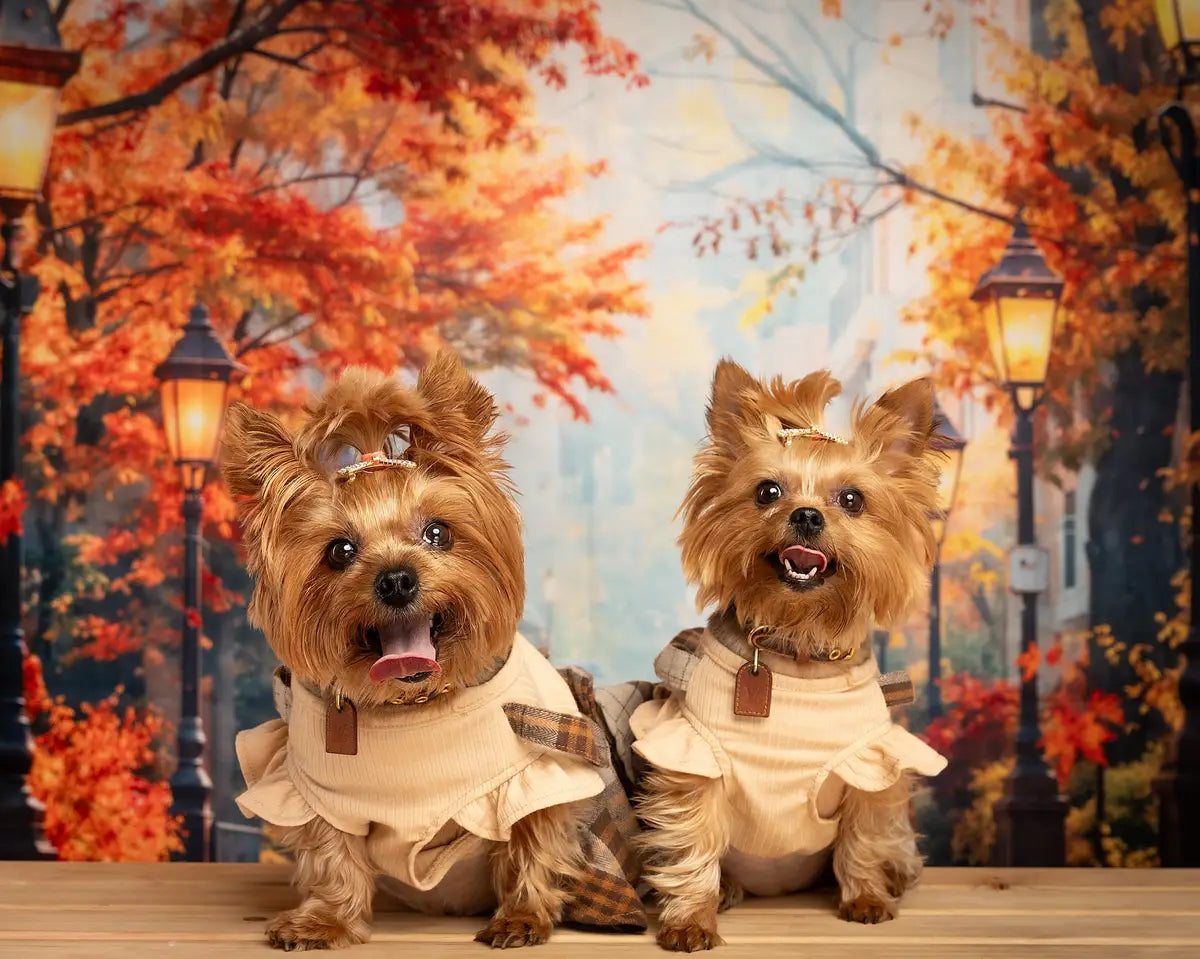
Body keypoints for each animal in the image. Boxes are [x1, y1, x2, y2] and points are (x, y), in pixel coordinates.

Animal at [222, 355, 643, 950]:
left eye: (438, 532)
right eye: (339, 550)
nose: (397, 579)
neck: (414, 704)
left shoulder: (536, 776)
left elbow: (532, 838)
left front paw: (522, 916)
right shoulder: (317, 793)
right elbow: (332, 855)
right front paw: (324, 919)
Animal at [633, 362, 950, 950]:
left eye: (851, 500)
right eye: (767, 491)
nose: (805, 515)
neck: (797, 643)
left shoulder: (872, 765)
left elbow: (864, 834)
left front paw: (866, 896)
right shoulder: (693, 759)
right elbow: (693, 842)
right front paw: (690, 919)